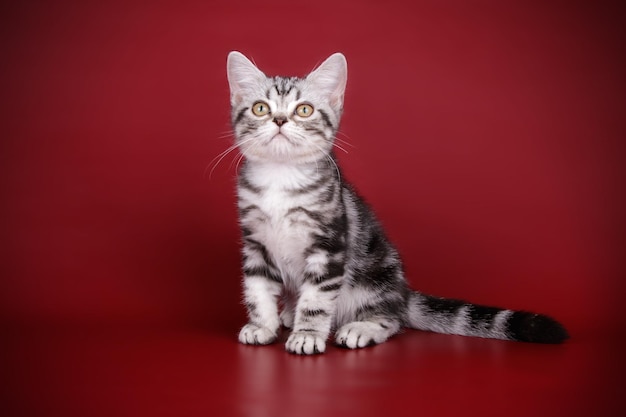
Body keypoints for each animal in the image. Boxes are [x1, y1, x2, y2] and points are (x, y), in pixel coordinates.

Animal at [227, 50, 568, 352]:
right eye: (260, 108)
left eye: (304, 110)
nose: (280, 120)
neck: (280, 178)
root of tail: (402, 294)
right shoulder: (255, 242)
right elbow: (257, 289)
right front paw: (262, 325)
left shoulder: (329, 245)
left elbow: (317, 299)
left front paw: (307, 335)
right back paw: (288, 313)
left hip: (375, 276)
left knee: (392, 320)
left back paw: (361, 328)